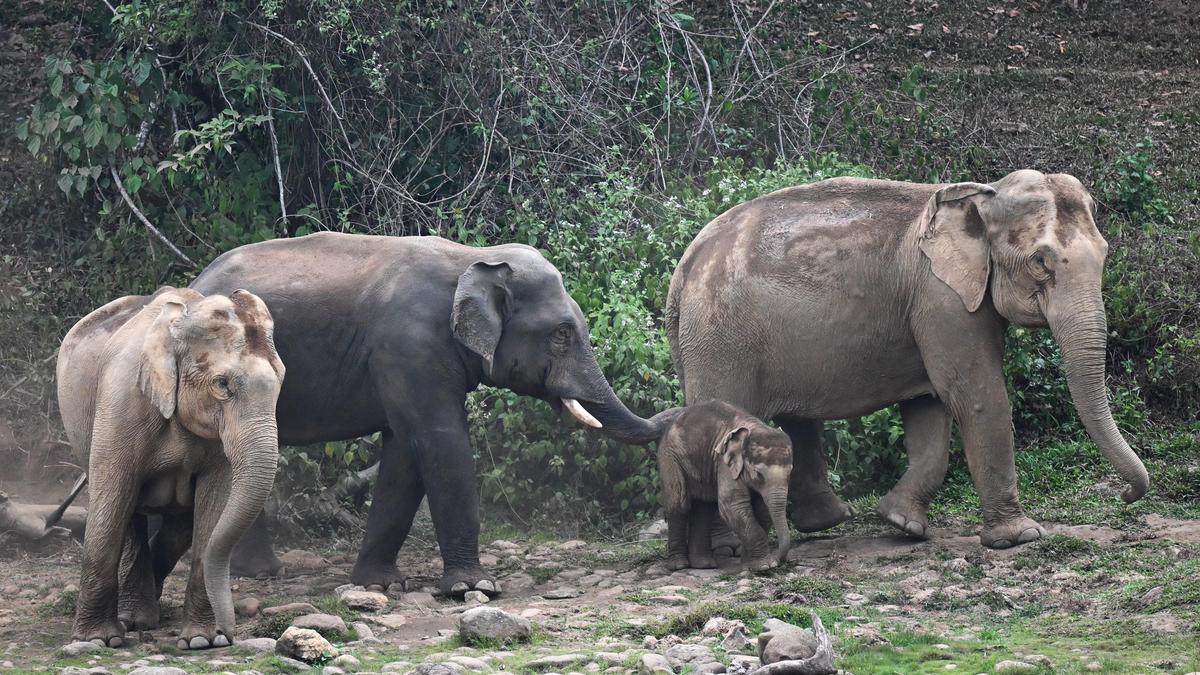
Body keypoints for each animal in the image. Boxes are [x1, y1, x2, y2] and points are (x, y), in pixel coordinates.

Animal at [57, 287, 285, 649]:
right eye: (223, 384)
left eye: (281, 381)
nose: (229, 633)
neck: (183, 317)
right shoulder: (122, 402)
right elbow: (111, 500)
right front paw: (97, 640)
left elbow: (214, 504)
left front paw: (202, 641)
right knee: (127, 513)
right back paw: (132, 620)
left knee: (177, 524)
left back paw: (142, 612)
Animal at [190, 232, 676, 595]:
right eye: (561, 334)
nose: (672, 415)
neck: (475, 258)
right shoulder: (409, 347)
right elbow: (441, 442)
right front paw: (473, 588)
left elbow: (405, 455)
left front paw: (381, 584)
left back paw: (258, 571)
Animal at [657, 400, 792, 571]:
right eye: (758, 474)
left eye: (790, 473)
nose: (781, 561)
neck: (754, 427)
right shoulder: (724, 462)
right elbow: (732, 504)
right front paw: (764, 566)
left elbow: (762, 508)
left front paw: (748, 565)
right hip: (669, 457)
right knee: (679, 505)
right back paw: (679, 565)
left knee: (704, 508)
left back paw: (704, 564)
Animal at [665, 170, 1150, 549]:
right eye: (1040, 263)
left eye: (1105, 255)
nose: (1125, 496)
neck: (980, 195)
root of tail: (683, 268)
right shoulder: (940, 298)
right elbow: (974, 394)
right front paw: (1020, 538)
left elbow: (929, 406)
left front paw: (902, 523)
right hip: (721, 341)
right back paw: (732, 547)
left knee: (795, 422)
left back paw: (824, 521)